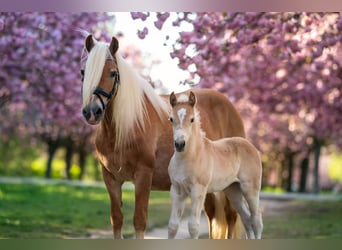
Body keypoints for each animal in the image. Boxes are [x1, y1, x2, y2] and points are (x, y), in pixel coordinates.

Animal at [80, 34, 246, 238]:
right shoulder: (110, 178)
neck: (125, 127)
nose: (92, 112)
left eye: (112, 73)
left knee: (231, 216)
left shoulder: (143, 176)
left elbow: (139, 220)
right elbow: (117, 220)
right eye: (83, 72)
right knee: (212, 214)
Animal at [168, 91, 262, 238]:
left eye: (192, 119)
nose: (179, 144)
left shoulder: (198, 191)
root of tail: (251, 147)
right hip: (233, 190)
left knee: (256, 221)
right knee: (247, 219)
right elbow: (172, 227)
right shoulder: (177, 191)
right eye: (171, 119)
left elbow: (193, 227)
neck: (190, 157)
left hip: (250, 189)